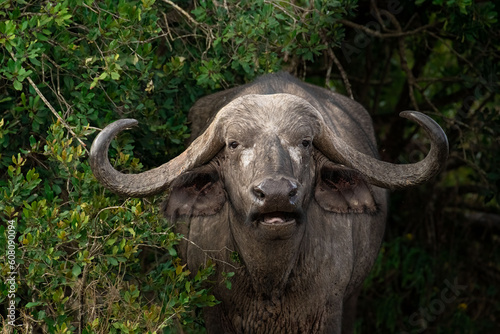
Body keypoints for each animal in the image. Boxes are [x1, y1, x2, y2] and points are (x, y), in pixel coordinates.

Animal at [91, 72, 450, 332]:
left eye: (305, 142)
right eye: (233, 144)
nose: (276, 194)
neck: (270, 283)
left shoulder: (329, 312)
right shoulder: (215, 313)